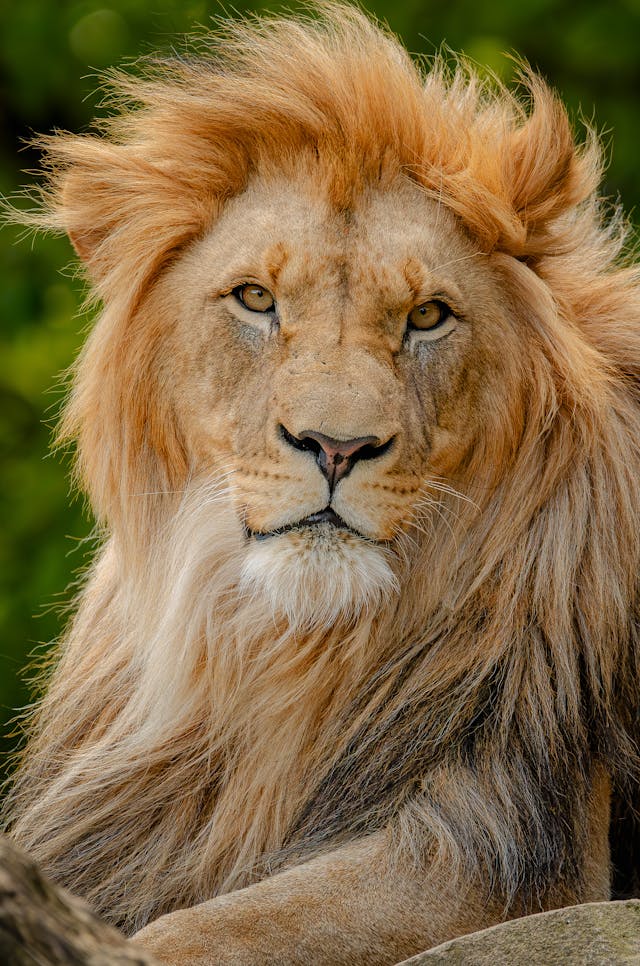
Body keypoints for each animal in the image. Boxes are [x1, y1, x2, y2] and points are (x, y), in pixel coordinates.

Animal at [5, 7, 640, 966]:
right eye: (255, 299)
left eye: (427, 316)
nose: (336, 447)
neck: (279, 652)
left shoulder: (516, 853)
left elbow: (201, 931)